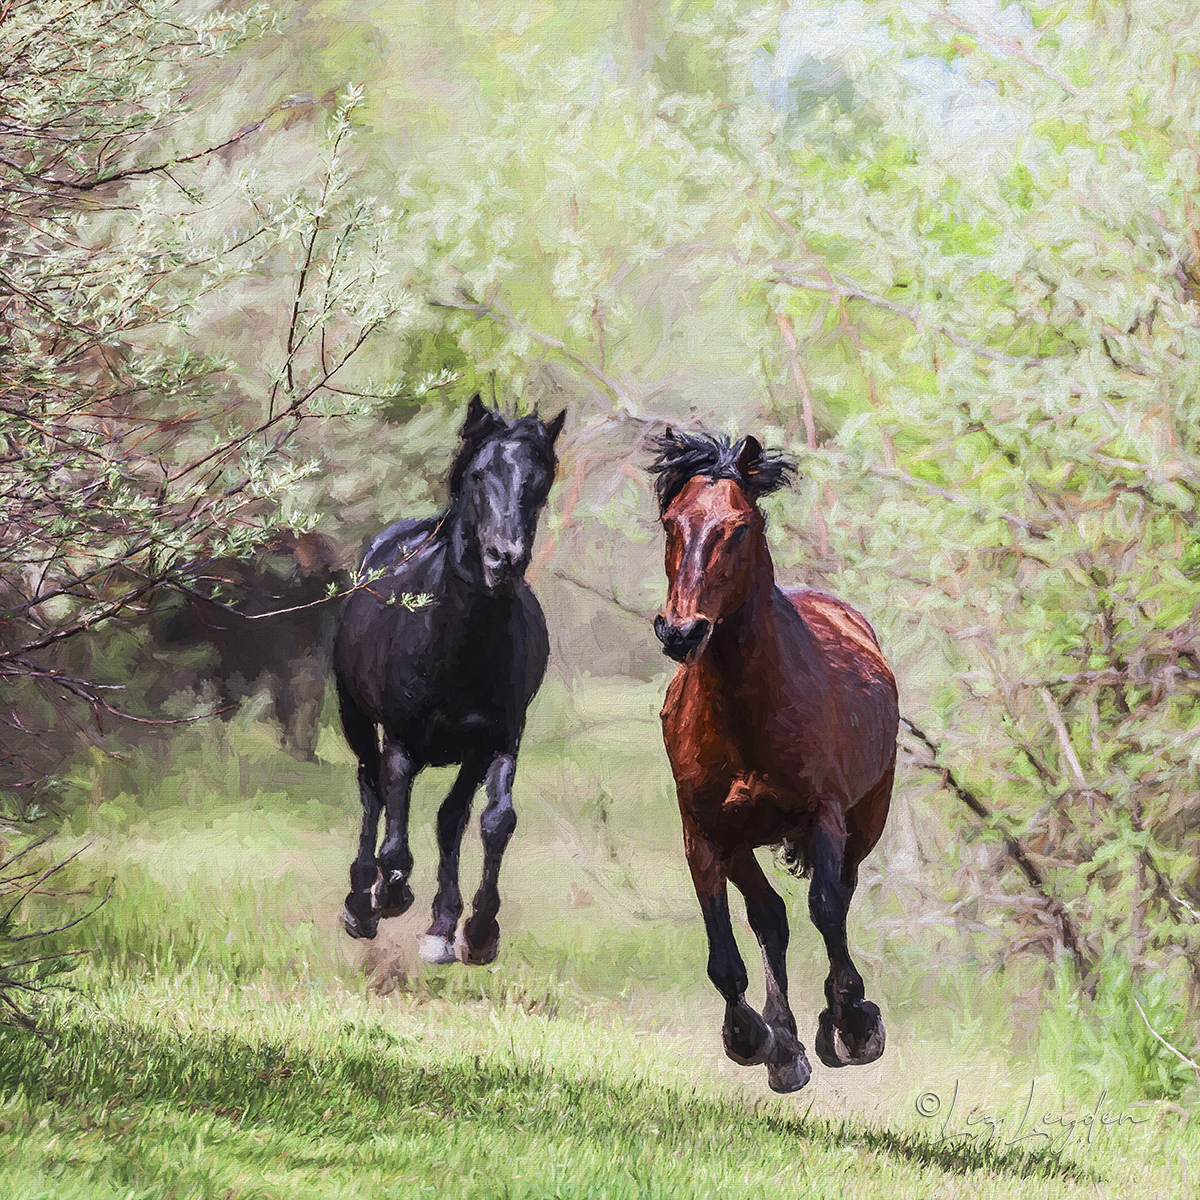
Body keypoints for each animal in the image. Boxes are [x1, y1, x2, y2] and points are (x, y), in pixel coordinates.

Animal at [333, 396, 566, 964]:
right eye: (479, 475)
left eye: (540, 480)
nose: (505, 560)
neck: (458, 648)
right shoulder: (400, 737)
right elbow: (395, 832)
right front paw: (388, 896)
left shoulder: (497, 739)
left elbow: (491, 822)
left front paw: (474, 930)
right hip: (355, 716)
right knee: (372, 788)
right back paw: (363, 899)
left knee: (448, 817)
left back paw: (440, 921)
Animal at [648, 432, 902, 1099]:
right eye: (671, 522)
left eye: (737, 528)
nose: (681, 631)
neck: (746, 714)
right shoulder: (705, 834)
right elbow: (725, 956)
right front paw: (753, 1038)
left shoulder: (825, 816)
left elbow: (828, 908)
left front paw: (853, 1024)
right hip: (743, 842)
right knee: (770, 918)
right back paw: (783, 1045)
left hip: (868, 819)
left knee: (833, 897)